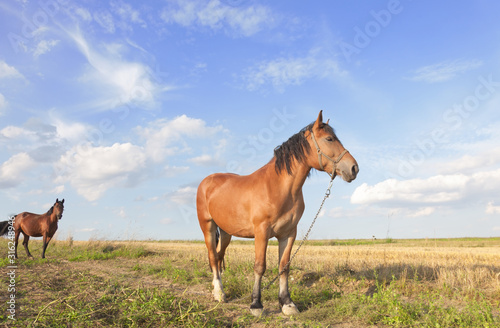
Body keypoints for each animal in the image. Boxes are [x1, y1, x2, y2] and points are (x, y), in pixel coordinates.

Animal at [197, 111, 358, 316]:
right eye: (329, 139)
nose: (354, 168)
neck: (278, 187)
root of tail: (207, 181)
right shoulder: (261, 232)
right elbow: (260, 266)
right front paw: (256, 305)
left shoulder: (288, 234)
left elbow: (284, 267)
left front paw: (287, 303)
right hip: (208, 227)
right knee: (212, 256)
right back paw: (219, 293)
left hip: (226, 232)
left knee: (218, 257)